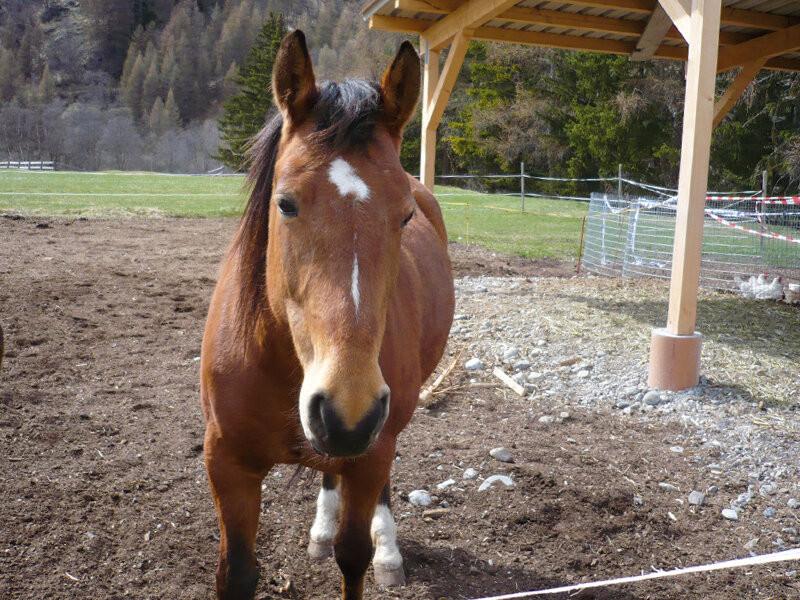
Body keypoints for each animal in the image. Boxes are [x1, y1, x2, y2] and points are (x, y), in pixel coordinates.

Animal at [200, 31, 456, 600]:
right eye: (286, 203)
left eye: (404, 215)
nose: (347, 410)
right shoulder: (227, 463)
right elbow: (237, 572)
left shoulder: (370, 450)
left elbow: (352, 555)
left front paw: (375, 551)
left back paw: (388, 551)